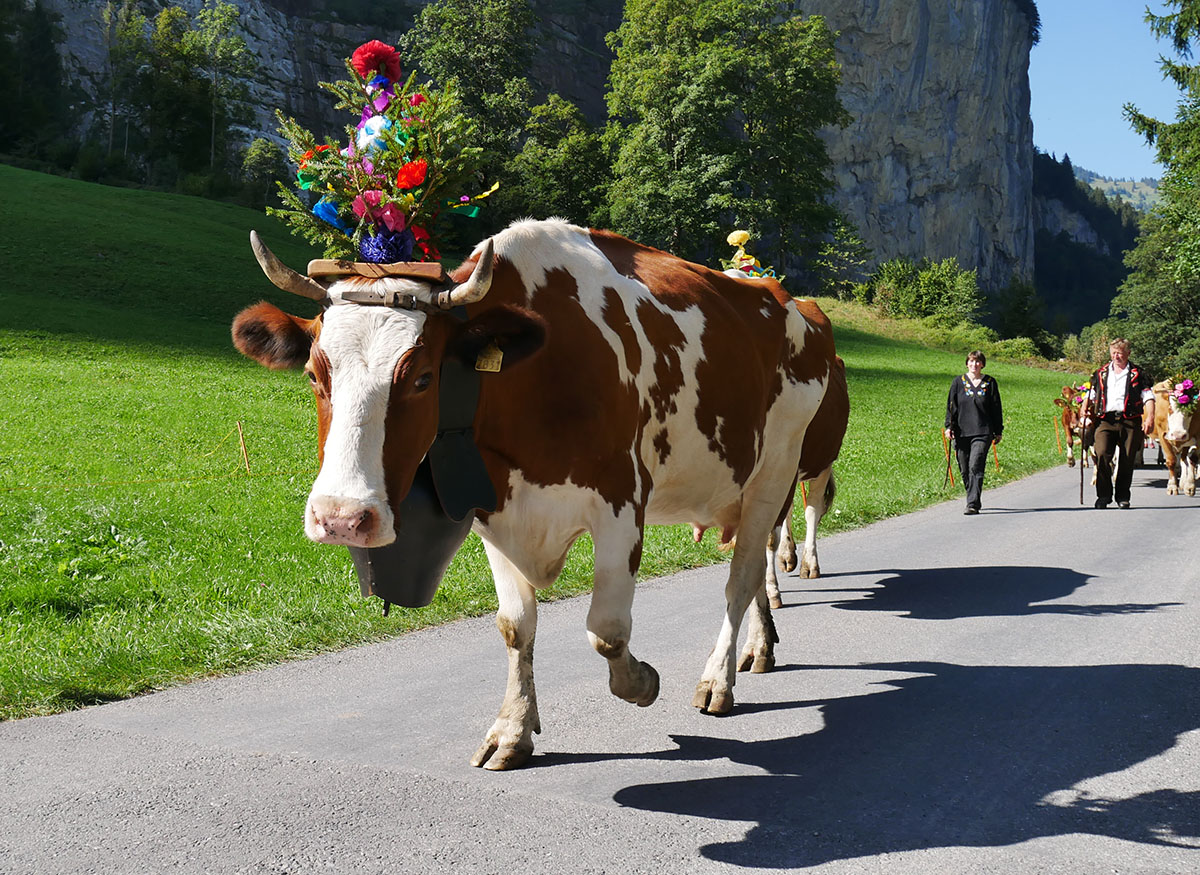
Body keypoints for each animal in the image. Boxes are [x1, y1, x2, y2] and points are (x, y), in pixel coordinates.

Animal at [231, 219, 835, 772]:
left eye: (423, 377)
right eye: (315, 375)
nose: (341, 518)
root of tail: (780, 296)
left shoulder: (621, 504)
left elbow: (606, 631)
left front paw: (641, 682)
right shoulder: (496, 509)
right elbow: (515, 626)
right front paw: (513, 730)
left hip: (774, 472)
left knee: (741, 577)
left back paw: (720, 678)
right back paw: (757, 648)